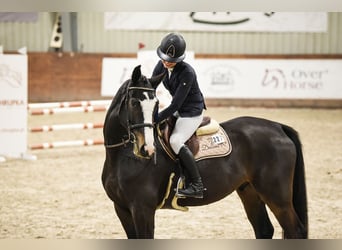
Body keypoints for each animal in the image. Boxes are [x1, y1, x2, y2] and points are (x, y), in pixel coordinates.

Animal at [101, 64, 308, 238]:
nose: (147, 149)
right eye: (134, 102)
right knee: (264, 229)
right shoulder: (121, 208)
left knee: (295, 230)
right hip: (250, 191)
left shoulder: (142, 209)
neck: (122, 157)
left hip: (277, 197)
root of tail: (278, 127)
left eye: (156, 104)